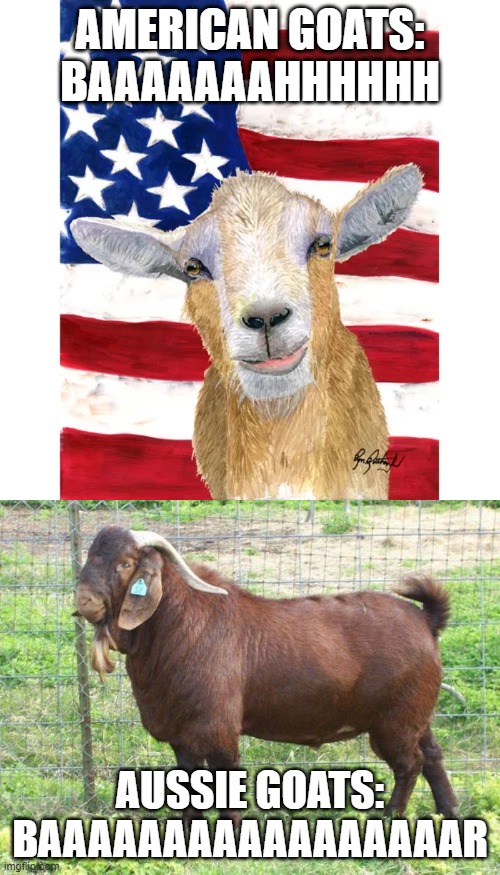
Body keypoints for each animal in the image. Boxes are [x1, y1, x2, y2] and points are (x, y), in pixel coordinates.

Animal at [76, 526, 458, 823]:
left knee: (410, 763)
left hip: (394, 721)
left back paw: (392, 816)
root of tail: (425, 619)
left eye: (126, 563)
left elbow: (224, 778)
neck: (180, 623)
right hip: (416, 714)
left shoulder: (217, 726)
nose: (84, 602)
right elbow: (189, 782)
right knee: (432, 755)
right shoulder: (181, 731)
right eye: (89, 557)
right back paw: (449, 811)